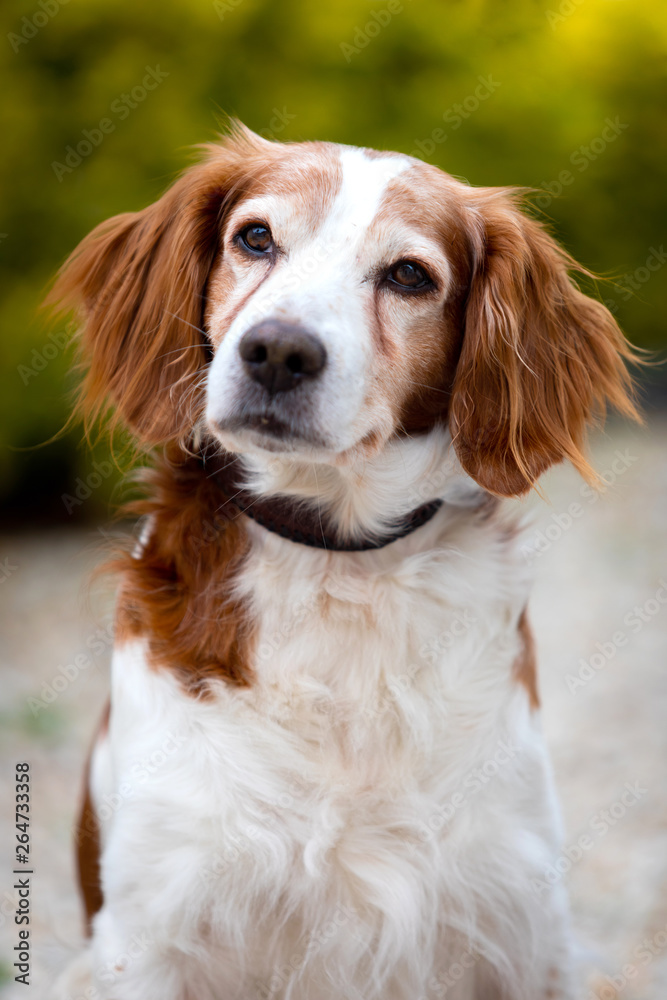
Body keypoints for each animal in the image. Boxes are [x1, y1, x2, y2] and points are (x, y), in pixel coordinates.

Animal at [49, 121, 640, 996]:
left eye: (408, 276)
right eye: (254, 238)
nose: (276, 352)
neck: (339, 569)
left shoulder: (517, 928)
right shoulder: (150, 933)